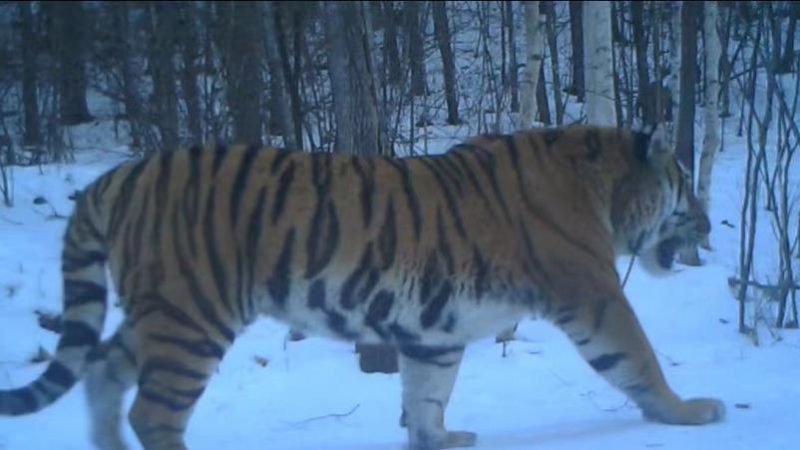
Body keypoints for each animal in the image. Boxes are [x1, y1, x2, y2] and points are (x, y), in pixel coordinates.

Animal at [0, 123, 724, 450]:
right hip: (191, 317)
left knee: (102, 370)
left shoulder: (436, 328)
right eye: (685, 186)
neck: (601, 188)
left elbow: (426, 393)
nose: (712, 224)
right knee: (153, 412)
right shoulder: (594, 292)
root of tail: (113, 177)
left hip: (162, 315)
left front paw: (439, 441)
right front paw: (689, 411)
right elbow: (638, 359)